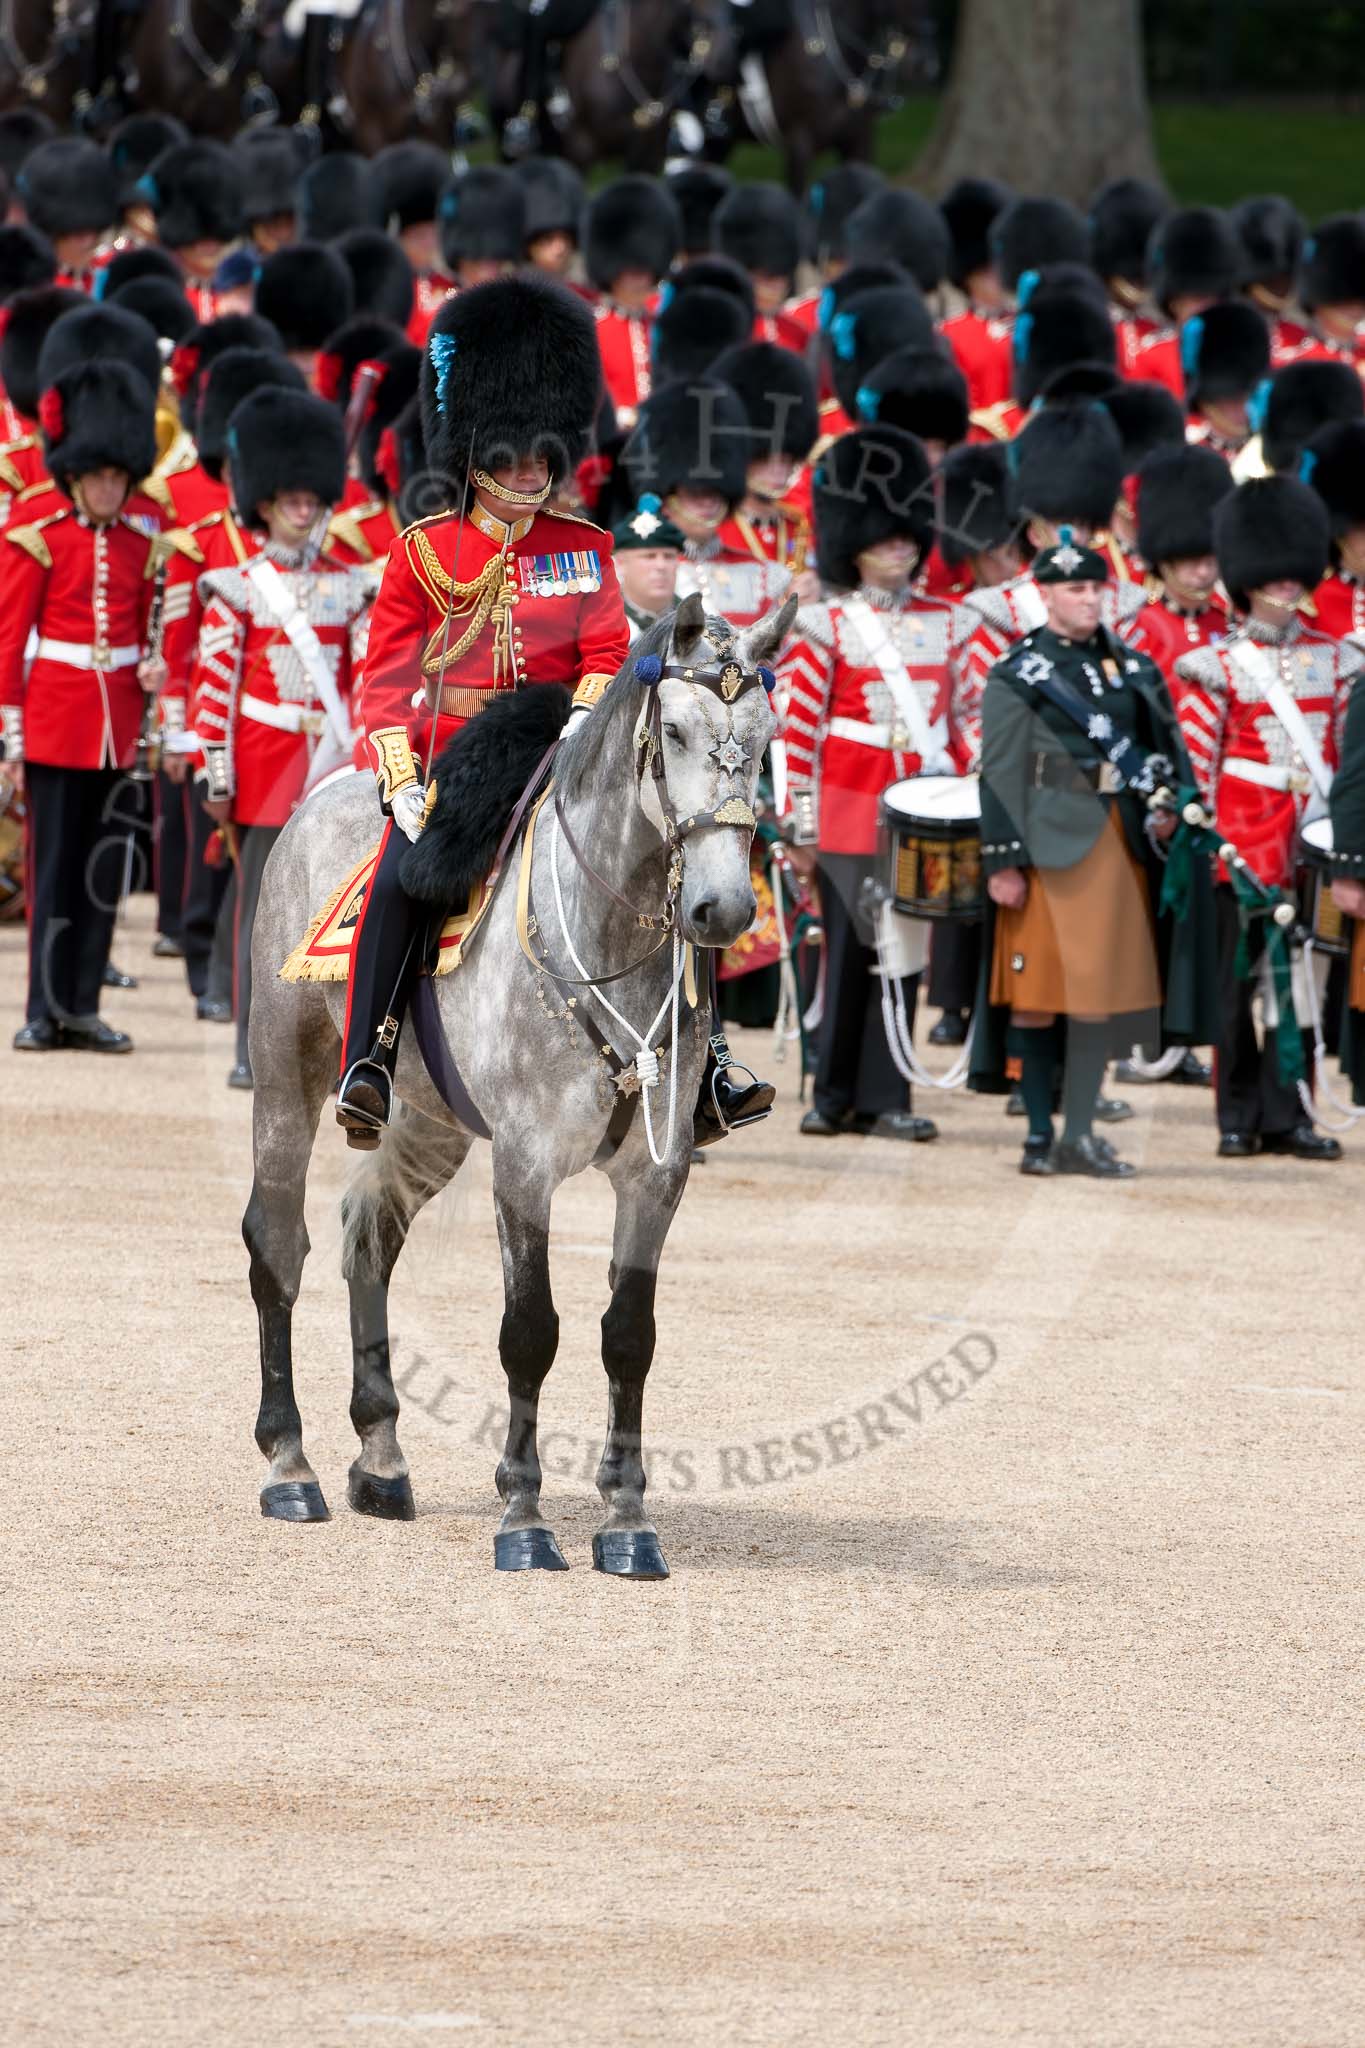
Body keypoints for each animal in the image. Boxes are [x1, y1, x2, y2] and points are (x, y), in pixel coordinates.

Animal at [240, 593, 785, 1581]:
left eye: (764, 741)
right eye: (675, 733)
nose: (720, 910)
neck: (609, 939)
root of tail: (323, 796)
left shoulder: (657, 1176)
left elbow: (628, 1336)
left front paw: (626, 1522)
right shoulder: (525, 1166)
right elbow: (530, 1331)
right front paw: (525, 1519)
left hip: (431, 1122)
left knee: (367, 1236)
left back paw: (380, 1458)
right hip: (283, 1075)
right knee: (277, 1243)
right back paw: (289, 1464)